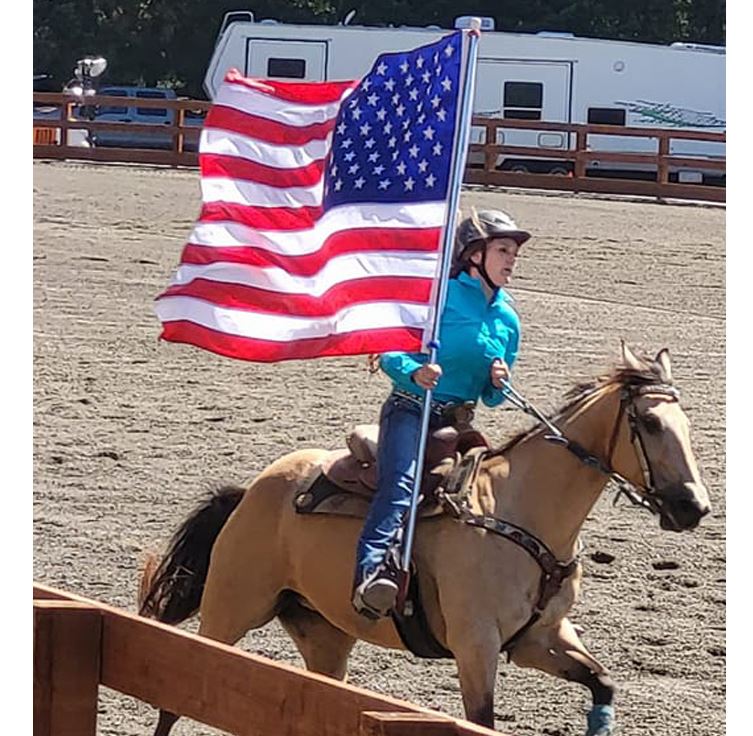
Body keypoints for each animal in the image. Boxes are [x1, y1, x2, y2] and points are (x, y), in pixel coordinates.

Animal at [138, 346, 708, 736]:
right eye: (650, 422)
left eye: (685, 421)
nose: (694, 506)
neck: (518, 512)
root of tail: (251, 489)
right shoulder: (475, 645)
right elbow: (482, 720)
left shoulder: (539, 639)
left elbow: (602, 681)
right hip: (230, 610)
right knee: (174, 690)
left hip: (323, 633)